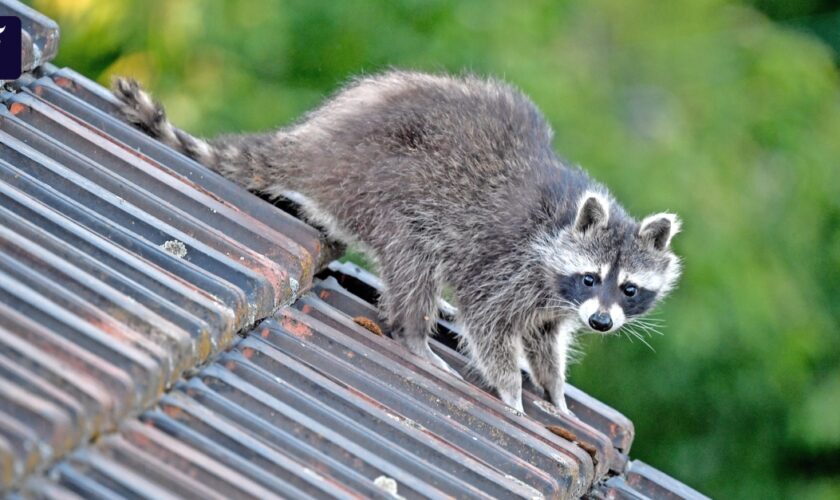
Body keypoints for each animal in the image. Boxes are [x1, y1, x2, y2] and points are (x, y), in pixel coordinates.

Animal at [113, 71, 684, 414]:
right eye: (591, 277)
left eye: (629, 289)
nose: (602, 322)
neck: (565, 224)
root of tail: (320, 144)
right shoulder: (511, 261)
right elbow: (488, 320)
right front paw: (510, 390)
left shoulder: (553, 300)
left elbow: (545, 339)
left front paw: (553, 388)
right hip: (389, 185)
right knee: (416, 258)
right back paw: (414, 335)